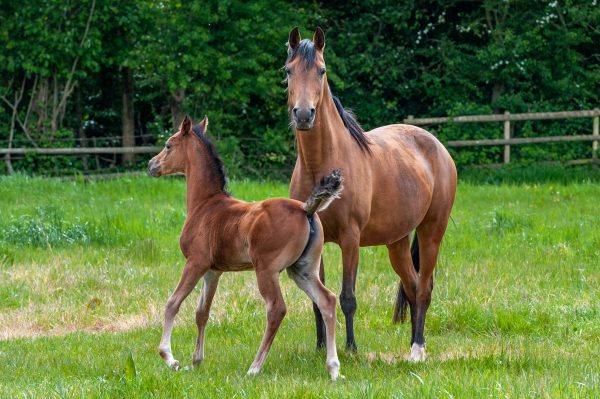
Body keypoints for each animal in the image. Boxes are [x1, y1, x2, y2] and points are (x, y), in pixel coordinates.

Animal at [146, 115, 342, 382]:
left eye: (168, 145)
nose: (151, 165)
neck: (205, 204)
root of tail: (306, 209)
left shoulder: (195, 262)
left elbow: (172, 303)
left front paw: (170, 358)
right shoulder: (213, 270)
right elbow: (202, 312)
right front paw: (196, 362)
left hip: (266, 270)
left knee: (276, 309)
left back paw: (255, 367)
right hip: (302, 270)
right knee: (327, 301)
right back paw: (333, 369)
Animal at [284, 26, 458, 360]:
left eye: (321, 71)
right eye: (288, 71)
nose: (303, 114)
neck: (322, 164)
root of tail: (437, 147)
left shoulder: (351, 239)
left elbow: (347, 297)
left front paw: (350, 349)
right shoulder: (315, 238)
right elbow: (316, 298)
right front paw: (321, 348)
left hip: (431, 233)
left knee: (424, 289)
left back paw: (418, 349)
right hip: (397, 243)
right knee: (412, 286)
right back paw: (412, 345)